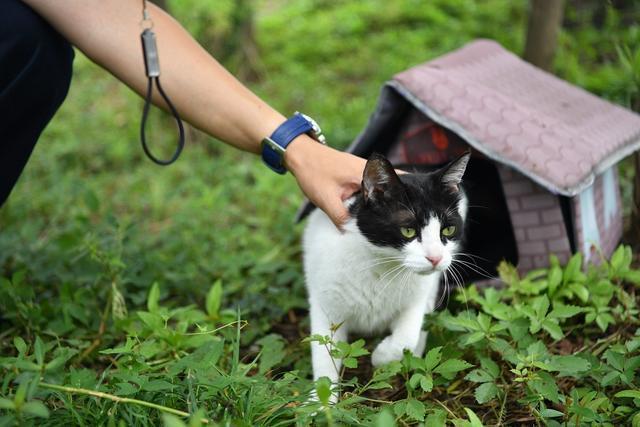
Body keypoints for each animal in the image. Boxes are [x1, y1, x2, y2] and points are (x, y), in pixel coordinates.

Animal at [300, 152, 470, 396]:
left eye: (448, 230)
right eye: (408, 230)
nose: (436, 258)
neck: (385, 266)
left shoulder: (418, 298)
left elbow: (406, 337)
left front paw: (382, 357)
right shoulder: (326, 306)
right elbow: (324, 353)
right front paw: (320, 402)